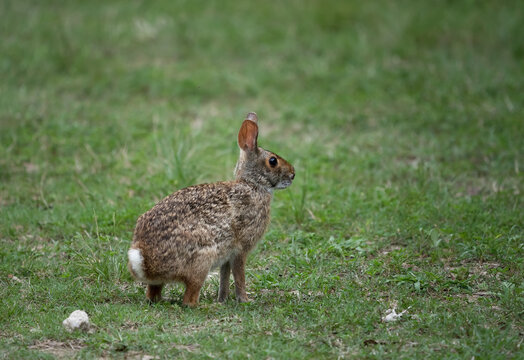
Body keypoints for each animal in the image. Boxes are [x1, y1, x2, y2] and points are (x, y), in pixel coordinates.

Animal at [125, 112, 292, 306]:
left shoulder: (227, 254)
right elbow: (239, 276)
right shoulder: (240, 249)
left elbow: (224, 277)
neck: (252, 184)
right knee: (189, 298)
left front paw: (223, 299)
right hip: (202, 260)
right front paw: (245, 300)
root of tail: (144, 260)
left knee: (153, 294)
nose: (293, 174)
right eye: (273, 161)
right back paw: (204, 306)